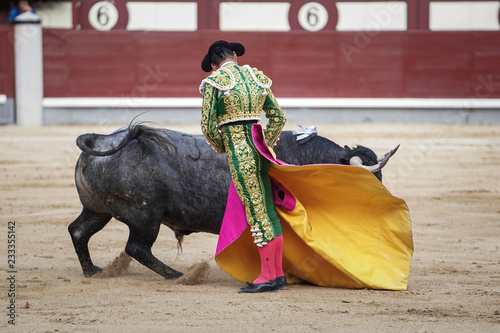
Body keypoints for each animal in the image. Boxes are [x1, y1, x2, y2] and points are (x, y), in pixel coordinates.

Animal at [69, 124, 398, 278]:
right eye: (369, 180)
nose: (383, 205)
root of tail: (102, 140)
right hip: (145, 216)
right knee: (137, 247)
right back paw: (178, 275)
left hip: (98, 210)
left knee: (78, 231)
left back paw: (93, 271)